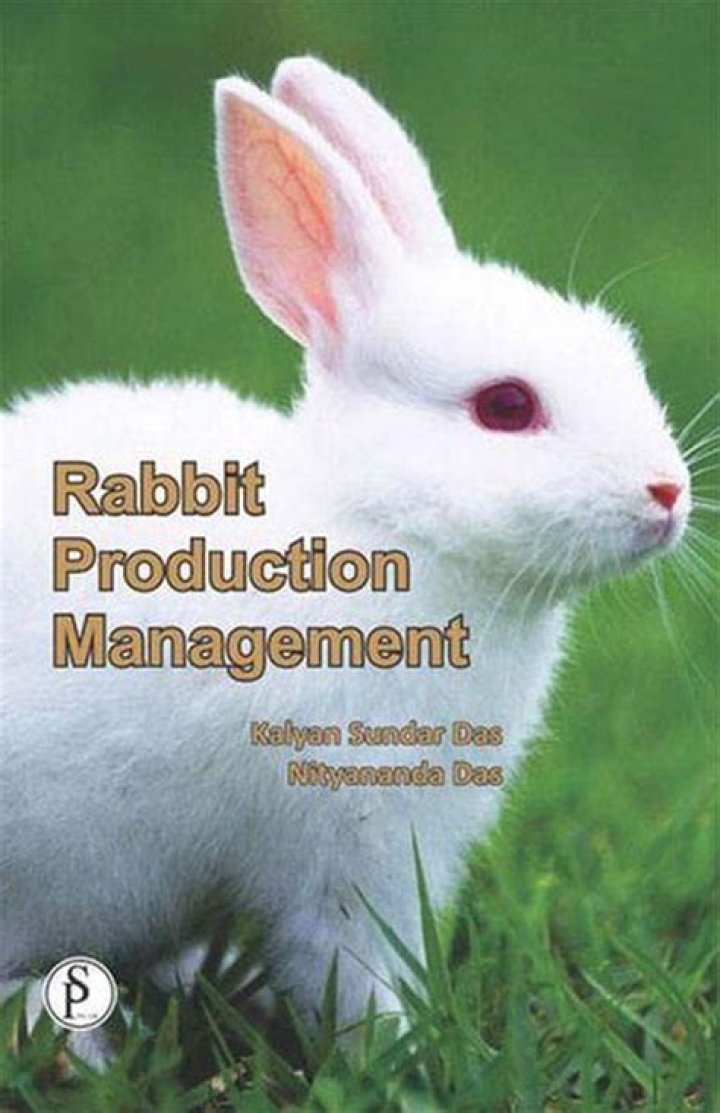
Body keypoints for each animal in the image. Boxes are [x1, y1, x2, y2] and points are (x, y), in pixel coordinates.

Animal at [0, 57, 690, 1033]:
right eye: (507, 405)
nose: (668, 491)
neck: (383, 529)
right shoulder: (350, 845)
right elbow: (352, 966)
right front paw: (398, 1041)